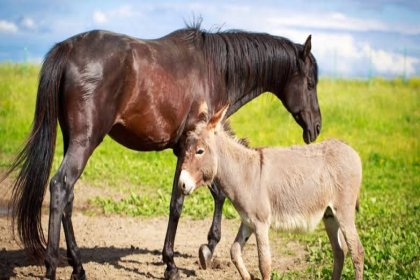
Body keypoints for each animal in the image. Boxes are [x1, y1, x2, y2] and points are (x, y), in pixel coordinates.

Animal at [3, 24, 320, 280]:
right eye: (310, 83)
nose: (316, 127)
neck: (214, 68)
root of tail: (68, 49)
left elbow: (215, 193)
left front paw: (206, 249)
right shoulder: (189, 148)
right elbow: (180, 202)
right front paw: (176, 262)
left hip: (73, 142)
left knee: (68, 195)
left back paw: (78, 266)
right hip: (84, 142)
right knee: (60, 187)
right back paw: (52, 267)